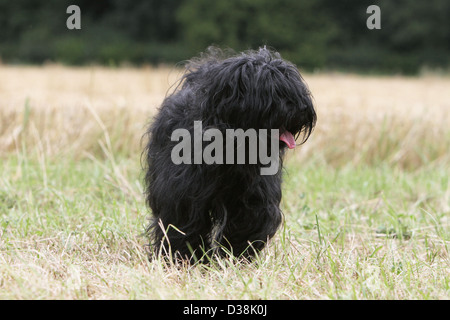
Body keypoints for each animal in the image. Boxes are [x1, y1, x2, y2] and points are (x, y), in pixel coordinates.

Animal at [144, 46, 316, 262]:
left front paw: (235, 256)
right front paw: (185, 257)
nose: (303, 108)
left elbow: (250, 222)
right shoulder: (183, 194)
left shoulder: (254, 198)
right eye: (272, 91)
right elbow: (183, 223)